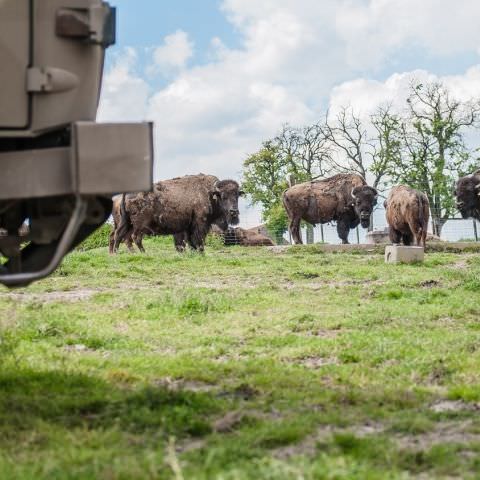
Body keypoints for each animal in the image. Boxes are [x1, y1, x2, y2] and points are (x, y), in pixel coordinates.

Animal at [113, 174, 244, 253]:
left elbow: (189, 241)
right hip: (139, 225)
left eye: (237, 195)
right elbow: (198, 240)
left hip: (126, 222)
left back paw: (116, 253)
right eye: (223, 196)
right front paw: (201, 252)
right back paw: (143, 253)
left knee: (119, 235)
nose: (234, 212)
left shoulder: (187, 227)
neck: (209, 194)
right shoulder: (200, 224)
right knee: (135, 237)